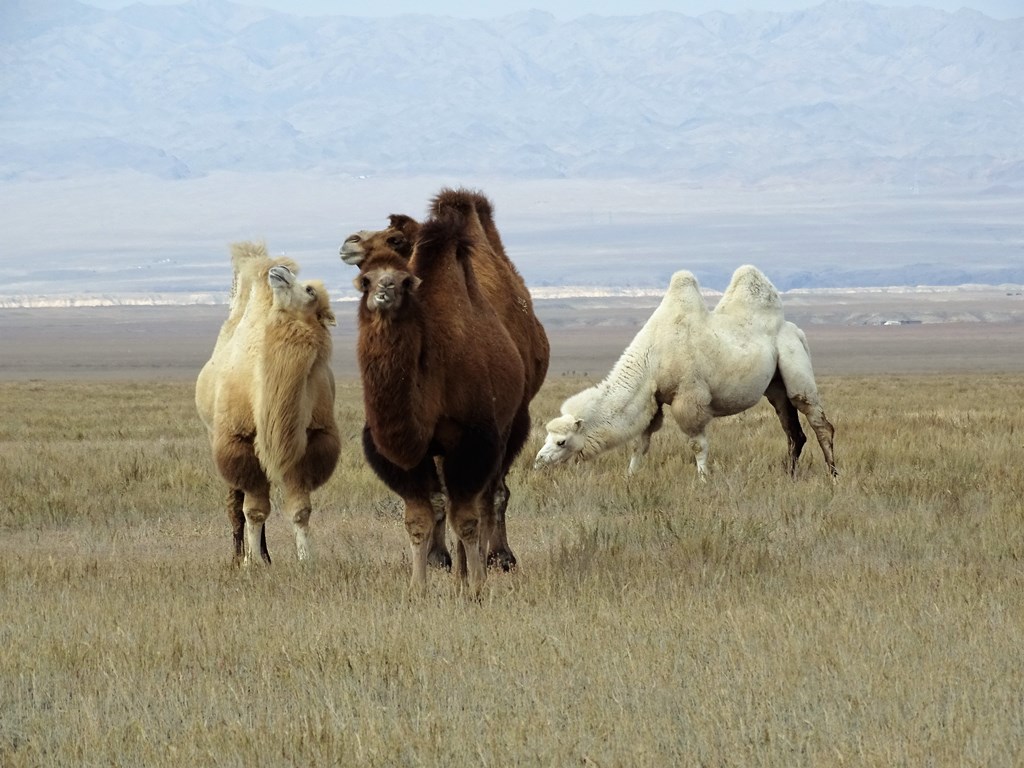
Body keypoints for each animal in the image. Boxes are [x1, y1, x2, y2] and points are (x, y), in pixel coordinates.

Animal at [197, 243, 342, 569]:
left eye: (310, 290)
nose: (281, 271)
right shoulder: (239, 441)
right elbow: (253, 510)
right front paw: (252, 564)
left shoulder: (309, 440)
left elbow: (300, 509)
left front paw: (306, 560)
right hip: (216, 436)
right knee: (236, 504)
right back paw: (240, 556)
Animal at [339, 186, 548, 573]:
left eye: (395, 238)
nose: (350, 241)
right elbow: (436, 499)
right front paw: (438, 556)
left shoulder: (487, 426)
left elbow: (483, 493)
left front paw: (488, 558)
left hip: (515, 417)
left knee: (494, 490)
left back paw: (497, 555)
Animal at [532, 266, 835, 481]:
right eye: (547, 437)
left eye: (561, 441)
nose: (538, 461)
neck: (652, 358)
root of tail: (796, 330)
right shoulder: (653, 399)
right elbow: (640, 443)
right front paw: (630, 476)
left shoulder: (689, 398)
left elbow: (697, 445)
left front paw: (703, 480)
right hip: (775, 386)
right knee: (793, 431)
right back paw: (790, 475)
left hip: (795, 366)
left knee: (819, 422)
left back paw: (833, 475)